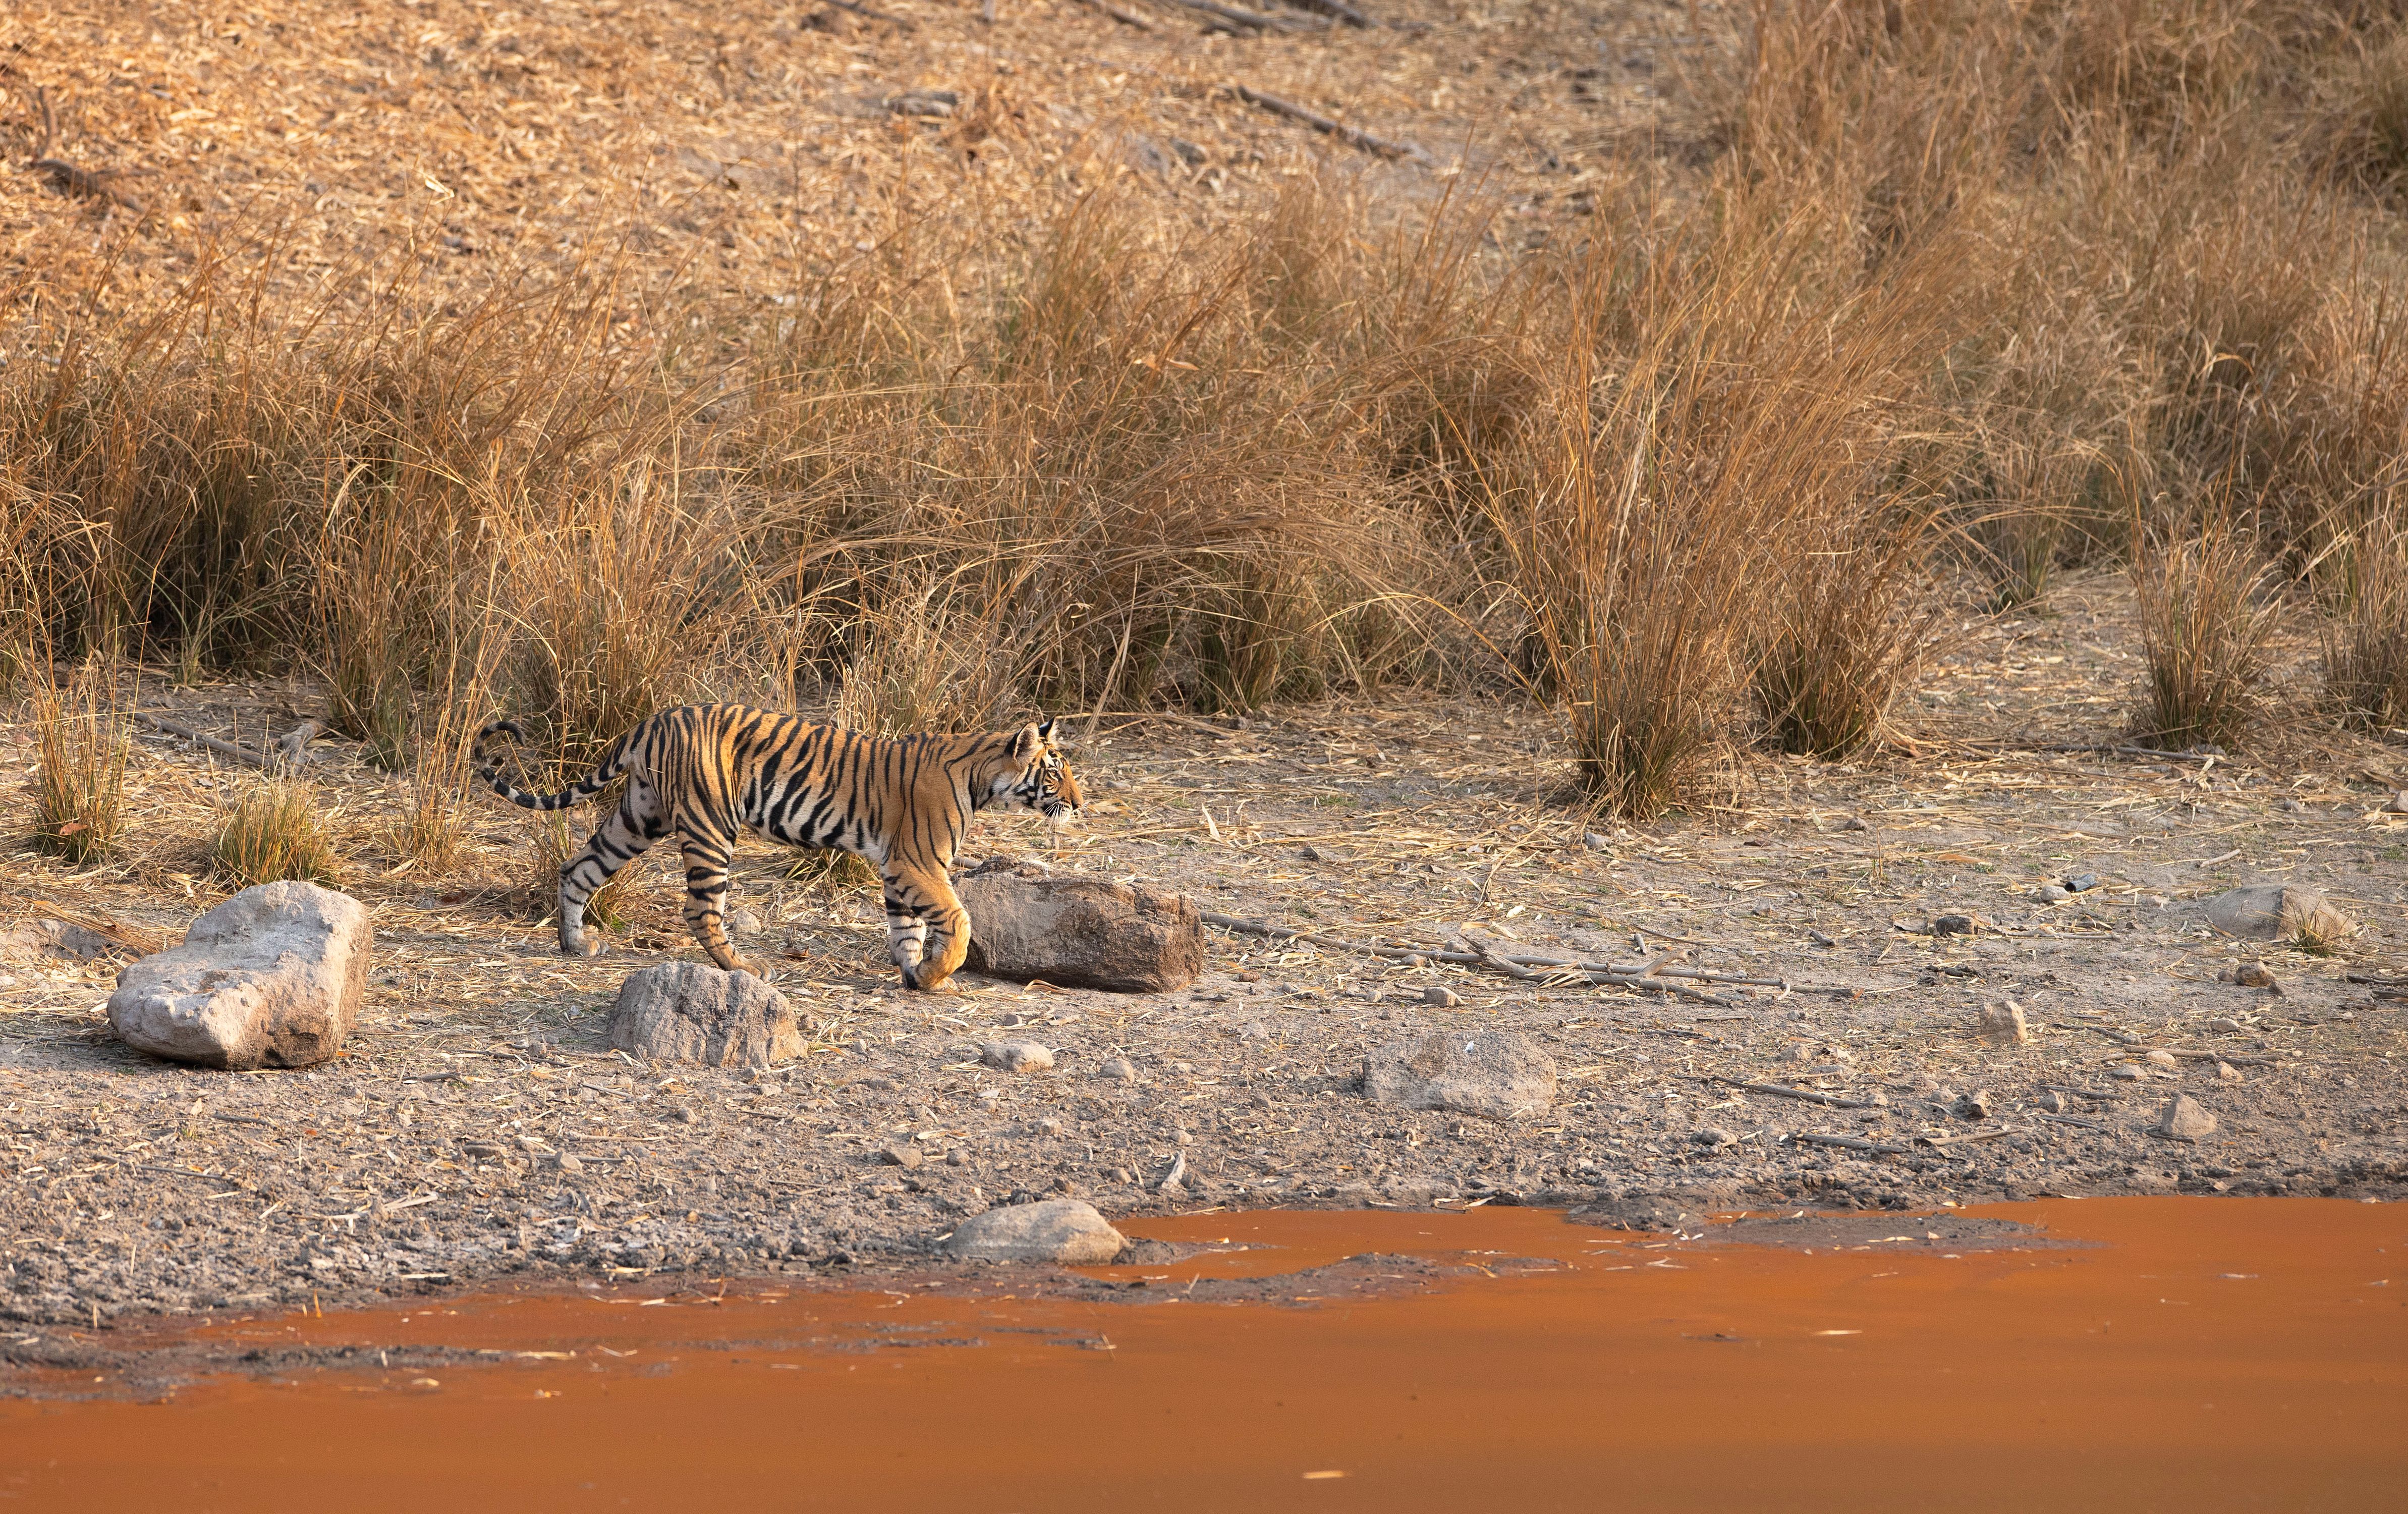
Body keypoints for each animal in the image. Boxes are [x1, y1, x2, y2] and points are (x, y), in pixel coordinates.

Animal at [471, 704, 1084, 991]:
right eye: (1055, 773)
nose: (1079, 805)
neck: (983, 776)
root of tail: (652, 719)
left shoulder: (896, 870)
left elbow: (906, 929)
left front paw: (917, 976)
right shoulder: (918, 863)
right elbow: (957, 921)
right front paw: (939, 974)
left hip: (638, 818)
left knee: (578, 867)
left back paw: (575, 945)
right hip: (710, 825)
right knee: (700, 908)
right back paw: (744, 968)